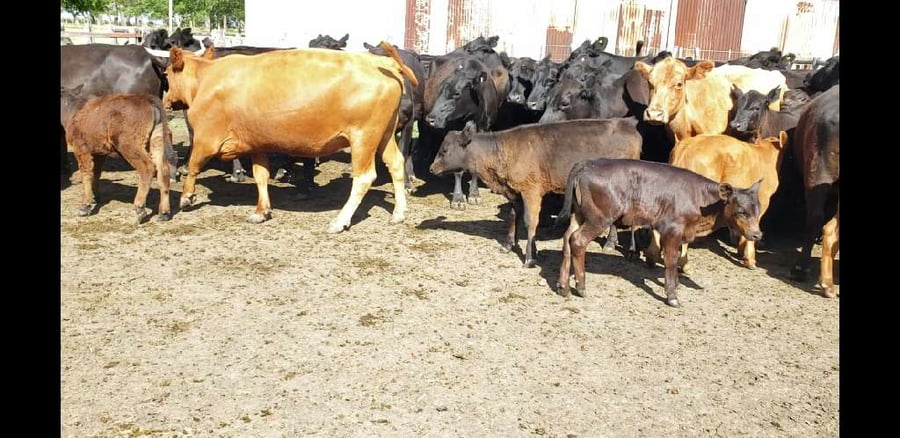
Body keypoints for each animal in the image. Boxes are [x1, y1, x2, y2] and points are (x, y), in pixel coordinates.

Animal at [61, 86, 177, 223]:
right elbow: (96, 173)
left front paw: (85, 206)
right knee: (163, 170)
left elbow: (86, 174)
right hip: (156, 141)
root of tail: (148, 99)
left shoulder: (81, 148)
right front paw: (95, 198)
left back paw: (140, 209)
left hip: (129, 145)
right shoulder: (99, 152)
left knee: (147, 167)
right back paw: (164, 213)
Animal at [163, 42, 417, 232]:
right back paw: (398, 213)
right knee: (396, 164)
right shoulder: (257, 143)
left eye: (165, 75)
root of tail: (380, 62)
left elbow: (193, 165)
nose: (166, 102)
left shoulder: (206, 139)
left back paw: (340, 220)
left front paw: (186, 197)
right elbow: (261, 175)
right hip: (384, 134)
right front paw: (261, 211)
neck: (207, 80)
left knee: (364, 177)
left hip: (363, 137)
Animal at [429, 118, 643, 267]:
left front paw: (530, 256)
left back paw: (626, 248)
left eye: (445, 149)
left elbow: (530, 222)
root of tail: (627, 123)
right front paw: (509, 245)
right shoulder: (514, 192)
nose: (432, 168)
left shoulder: (531, 191)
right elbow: (513, 216)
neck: (501, 150)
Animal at [556, 159, 763, 307]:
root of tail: (587, 164)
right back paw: (581, 287)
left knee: (567, 239)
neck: (700, 200)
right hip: (600, 217)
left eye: (758, 209)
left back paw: (563, 286)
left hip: (579, 214)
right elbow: (670, 261)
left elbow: (677, 257)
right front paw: (672, 296)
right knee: (578, 241)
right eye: (741, 211)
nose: (757, 235)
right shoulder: (671, 230)